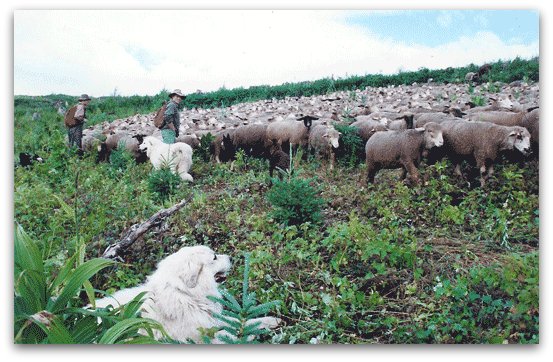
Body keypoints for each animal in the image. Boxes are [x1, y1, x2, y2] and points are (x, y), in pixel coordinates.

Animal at [94, 245, 280, 344]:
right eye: (214, 257)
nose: (231, 257)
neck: (186, 295)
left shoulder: (210, 319)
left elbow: (244, 321)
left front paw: (270, 321)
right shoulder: (195, 338)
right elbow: (225, 335)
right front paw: (247, 336)